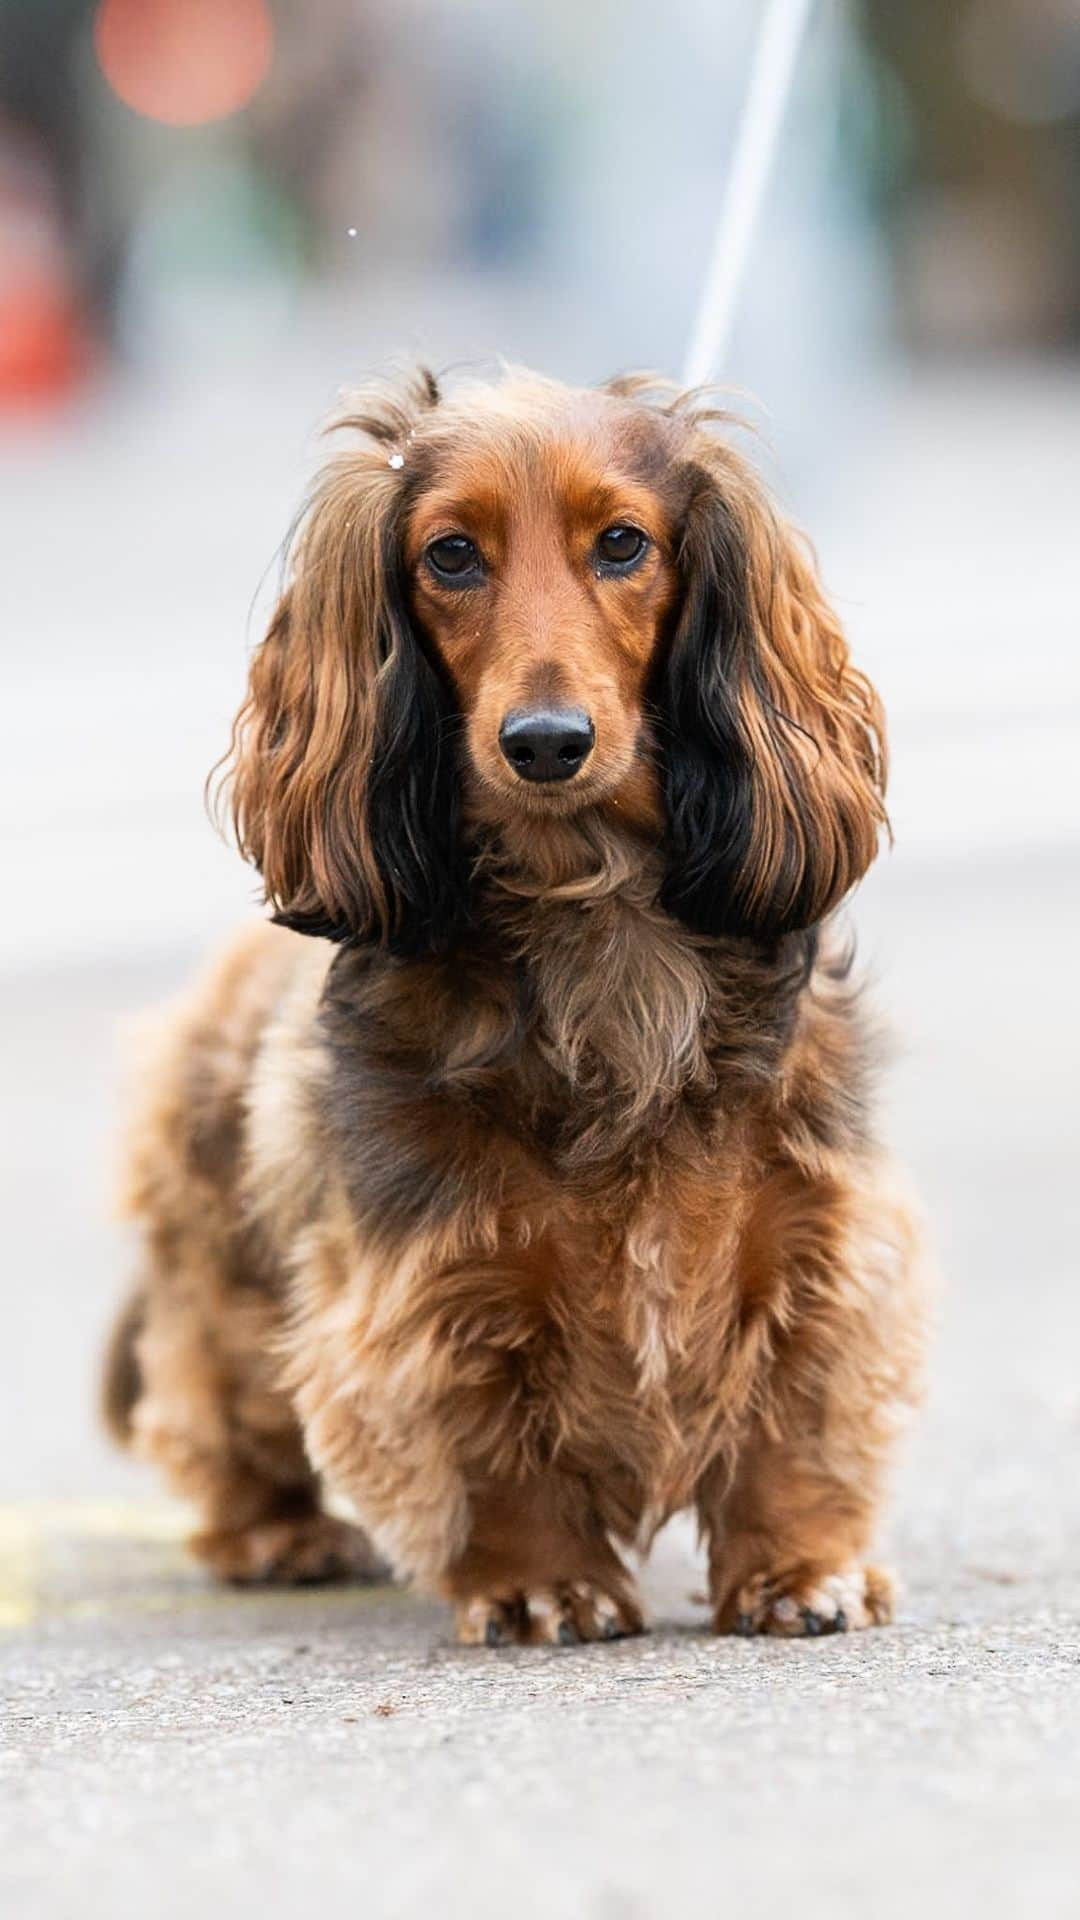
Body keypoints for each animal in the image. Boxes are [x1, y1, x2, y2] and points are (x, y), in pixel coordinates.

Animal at [100, 366, 922, 1643]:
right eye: (450, 555)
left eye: (624, 542)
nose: (545, 742)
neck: (596, 919)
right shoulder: (434, 1277)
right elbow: (489, 1444)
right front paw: (543, 1581)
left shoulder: (812, 1232)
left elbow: (796, 1414)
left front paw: (799, 1568)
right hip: (225, 1279)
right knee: (208, 1406)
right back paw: (274, 1532)